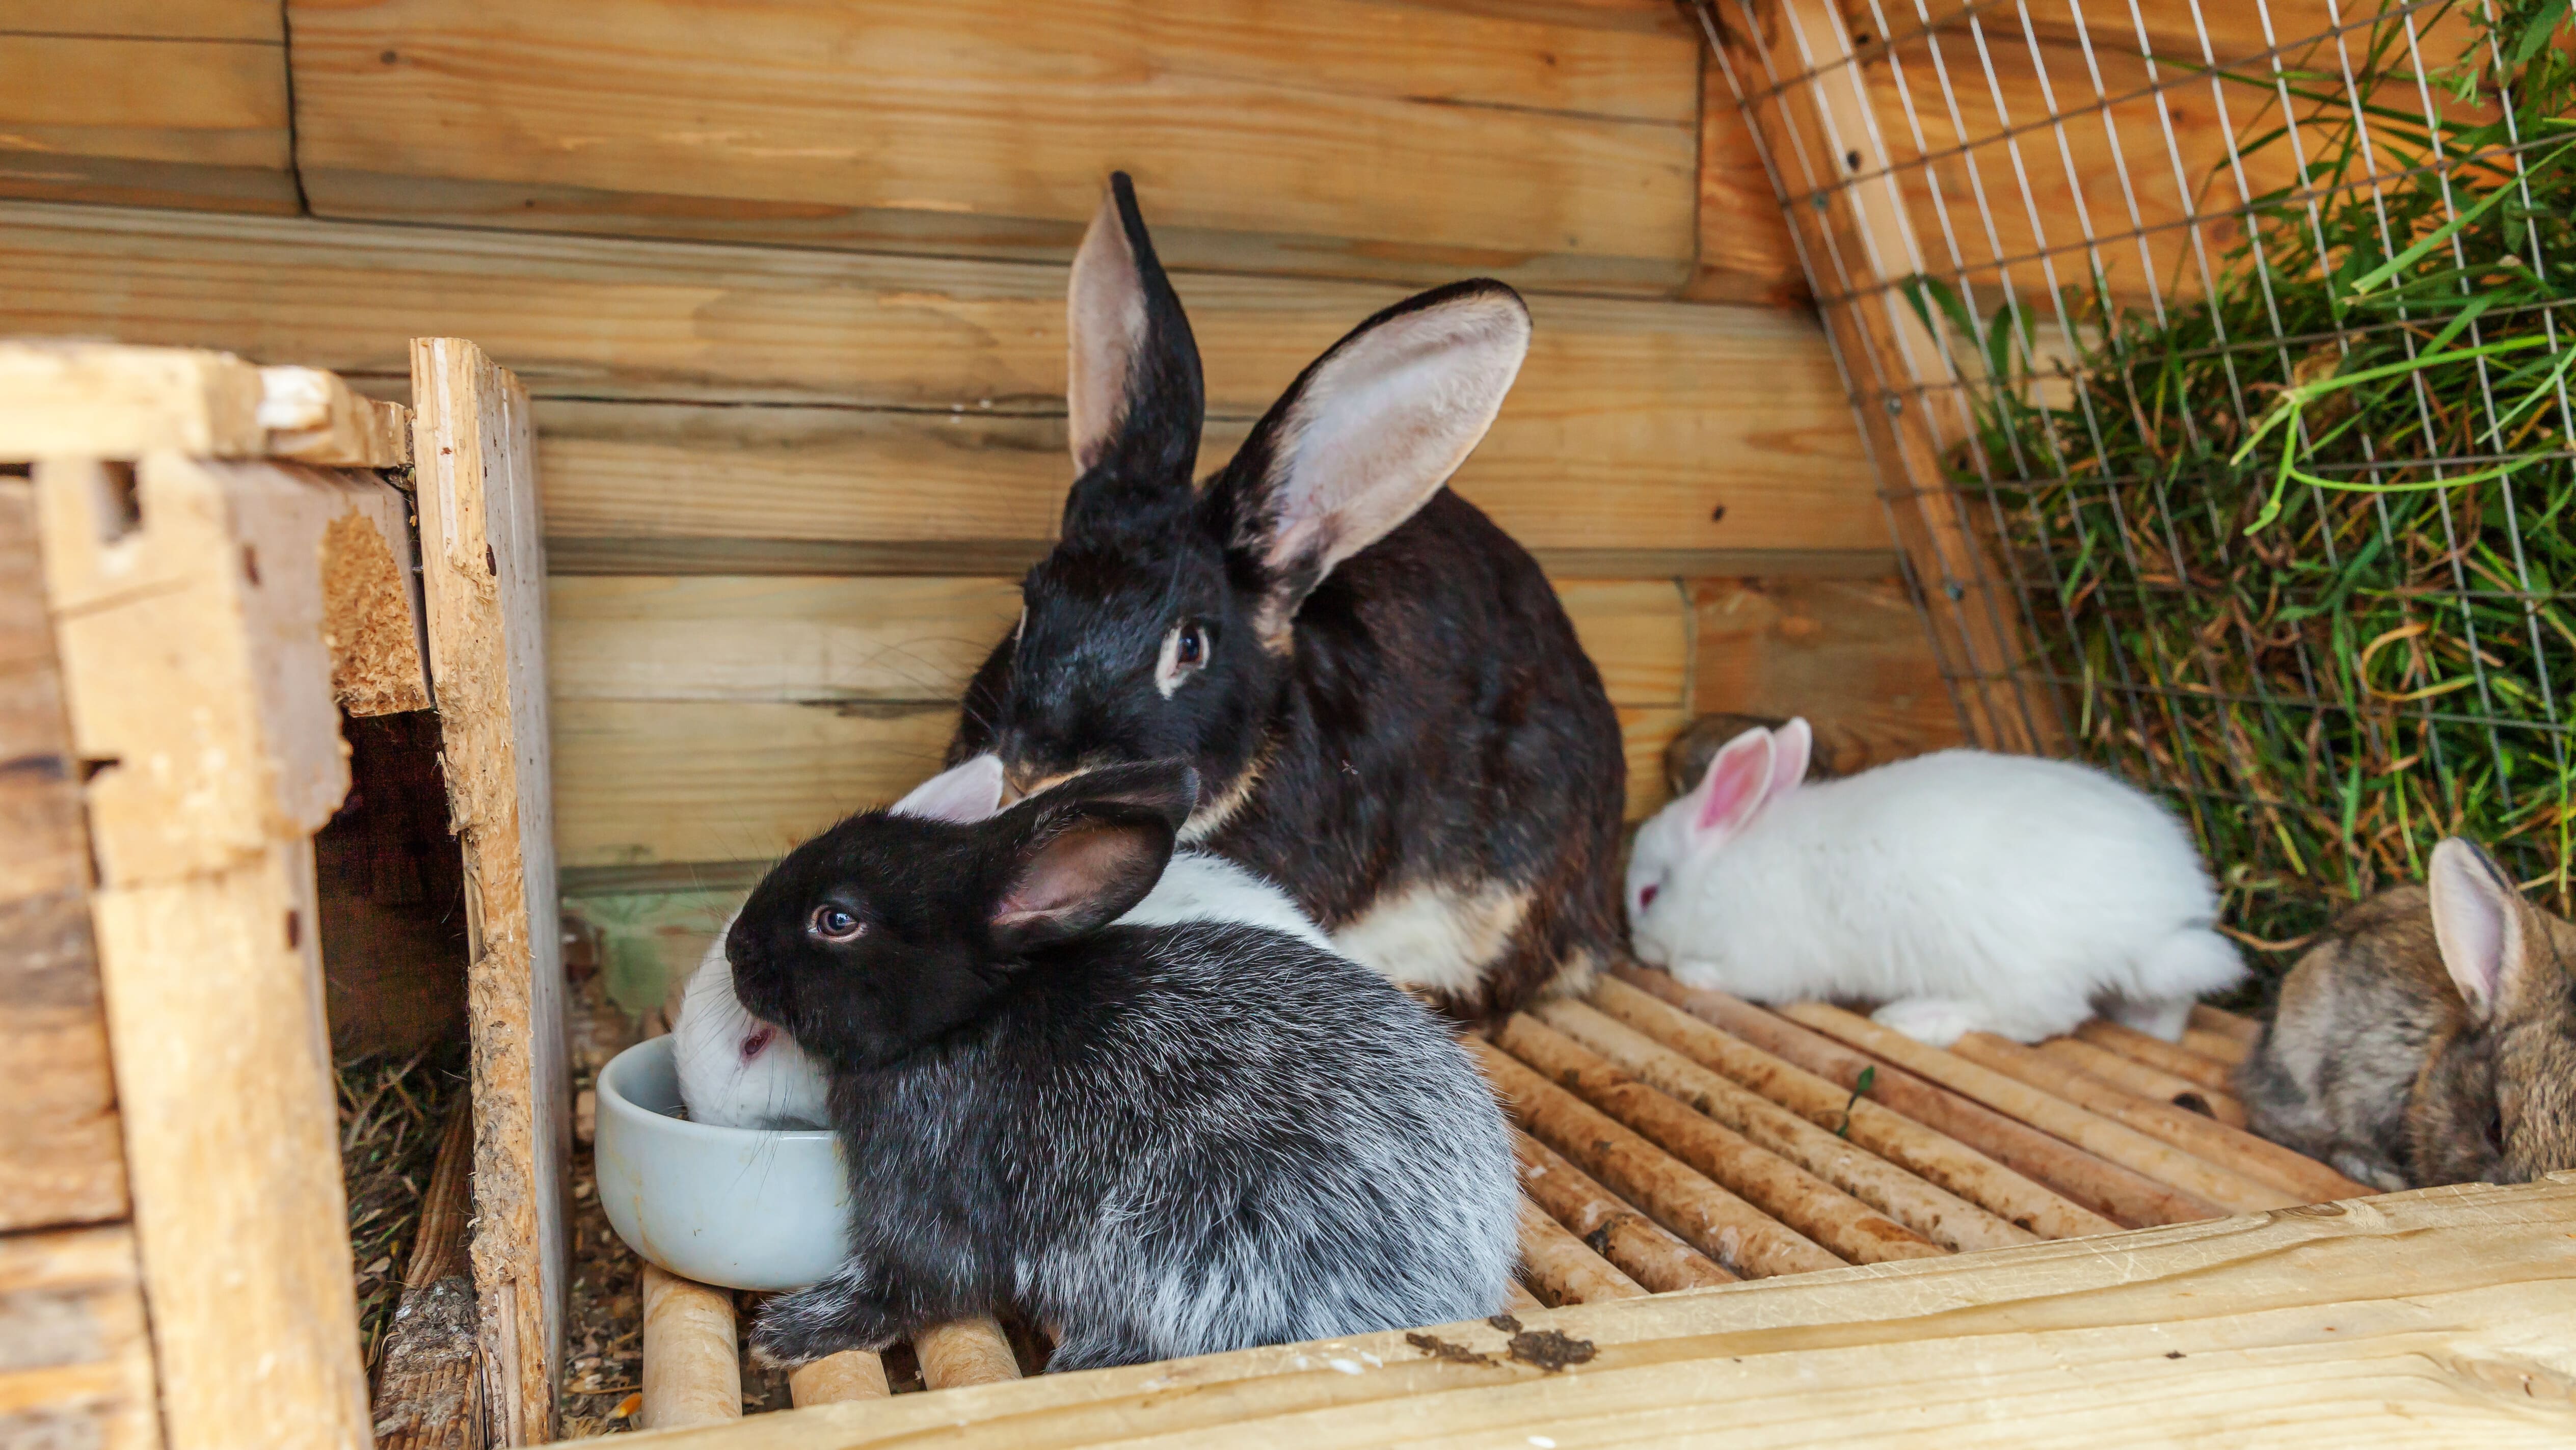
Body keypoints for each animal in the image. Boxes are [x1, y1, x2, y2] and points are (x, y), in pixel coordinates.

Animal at [722, 758, 1520, 1373]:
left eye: (836, 920)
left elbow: (915, 1282)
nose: (735, 948)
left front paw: (789, 1333)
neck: (963, 1021)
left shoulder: (929, 1188)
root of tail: (1474, 1270)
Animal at [1625, 718, 2246, 1047]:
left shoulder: (1765, 957)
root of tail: (2152, 924)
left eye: (1648, 895)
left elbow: (1730, 977)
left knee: (2035, 1017)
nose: (1639, 948)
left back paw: (1913, 1017)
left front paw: (1689, 971)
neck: (1718, 872)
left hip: (2013, 968)